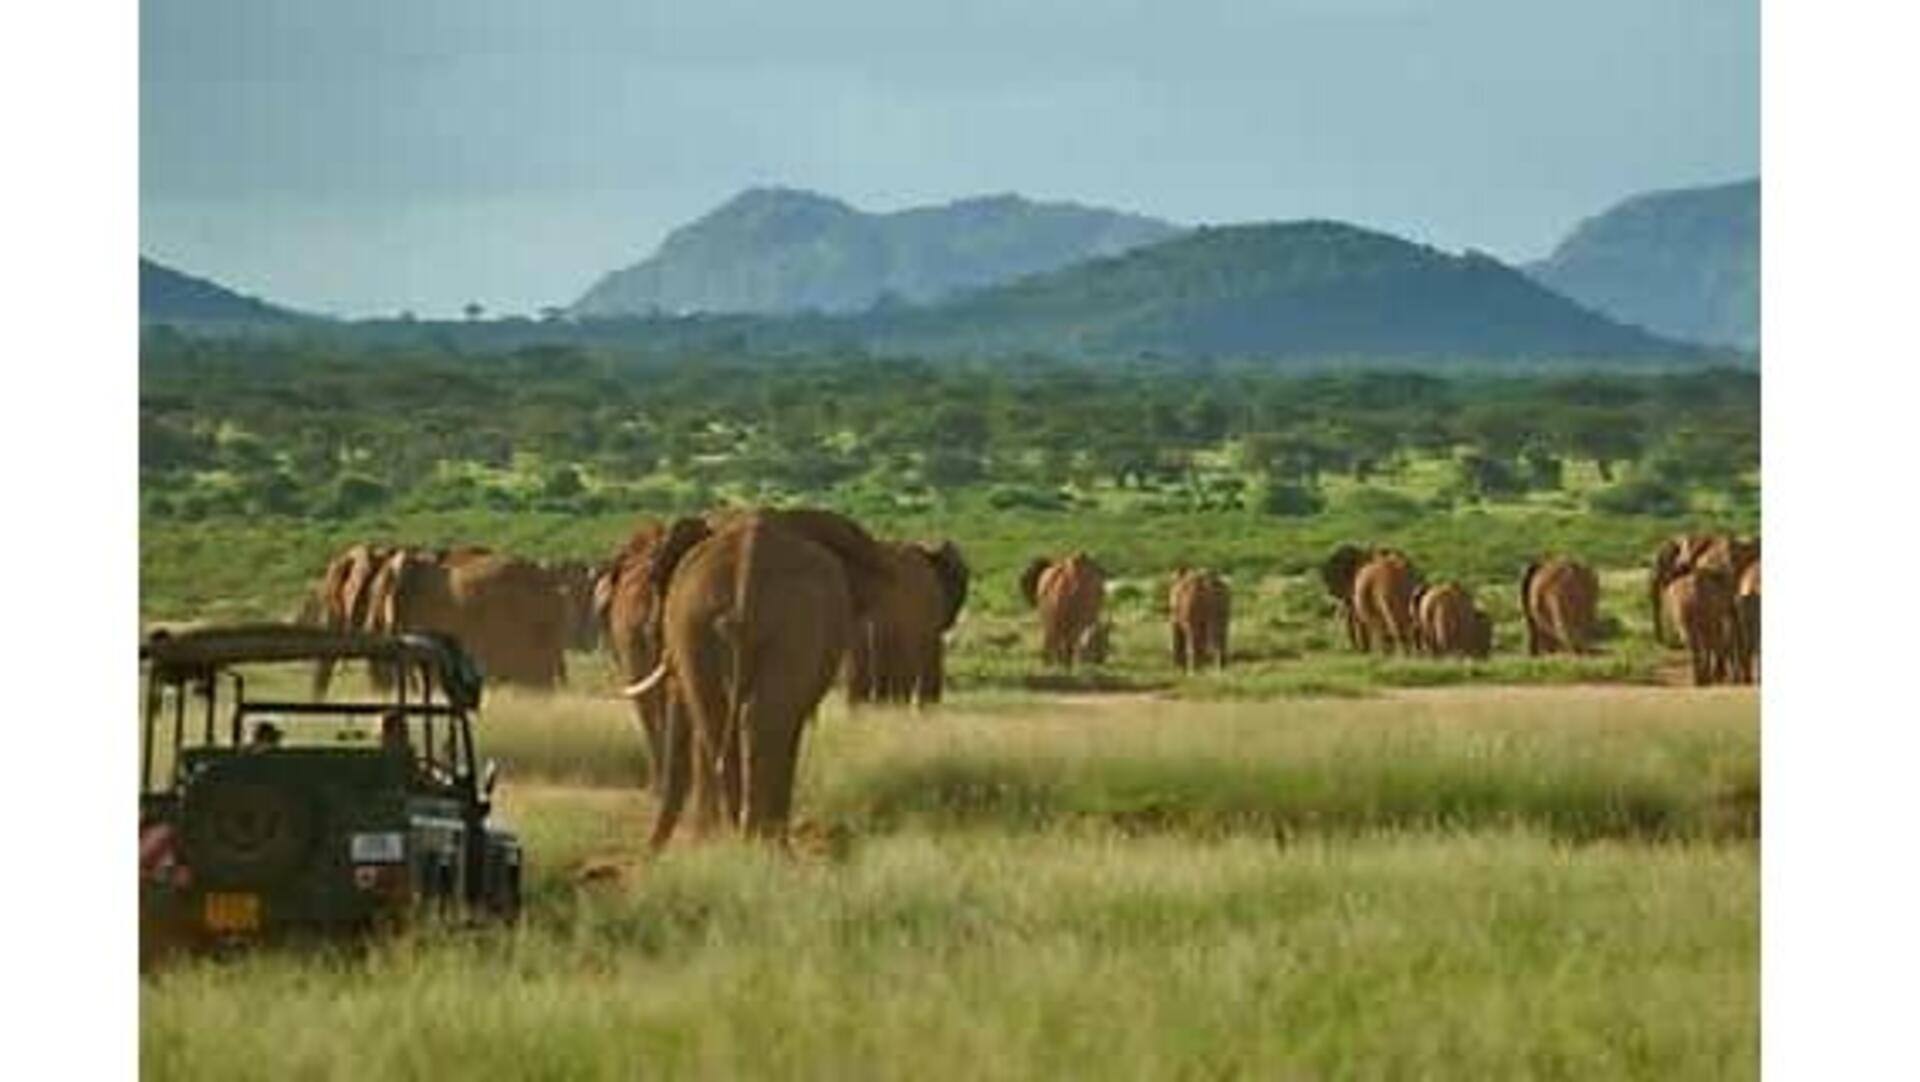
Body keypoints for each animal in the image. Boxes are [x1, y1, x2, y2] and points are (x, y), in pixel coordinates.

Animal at [629, 502, 898, 847]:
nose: (649, 851)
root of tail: (748, 564)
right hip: (731, 620)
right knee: (750, 720)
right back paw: (753, 839)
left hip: (718, 621)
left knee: (727, 719)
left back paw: (747, 837)